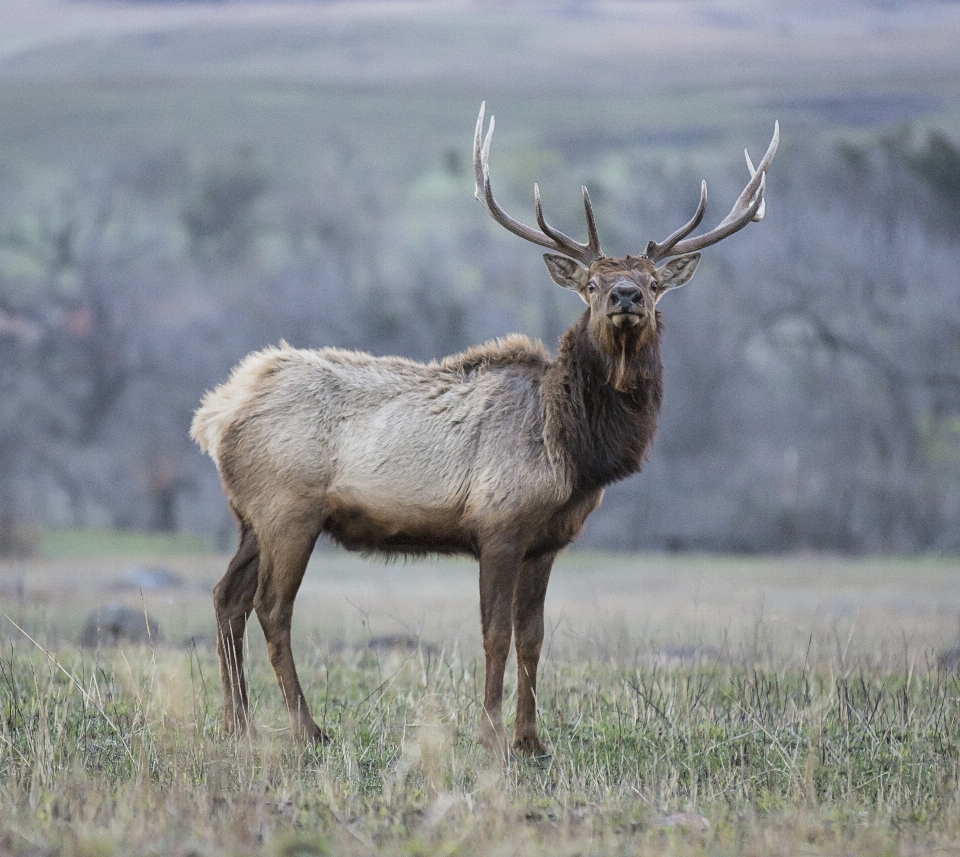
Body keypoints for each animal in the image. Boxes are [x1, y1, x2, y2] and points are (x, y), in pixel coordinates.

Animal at [189, 103, 780, 752]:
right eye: (591, 285)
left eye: (653, 284)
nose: (625, 296)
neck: (573, 449)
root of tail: (216, 413)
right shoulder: (498, 524)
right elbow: (495, 633)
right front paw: (490, 736)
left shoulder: (546, 542)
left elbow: (533, 637)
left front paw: (532, 740)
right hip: (288, 509)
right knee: (272, 608)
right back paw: (306, 727)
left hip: (250, 517)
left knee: (226, 599)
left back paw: (239, 723)